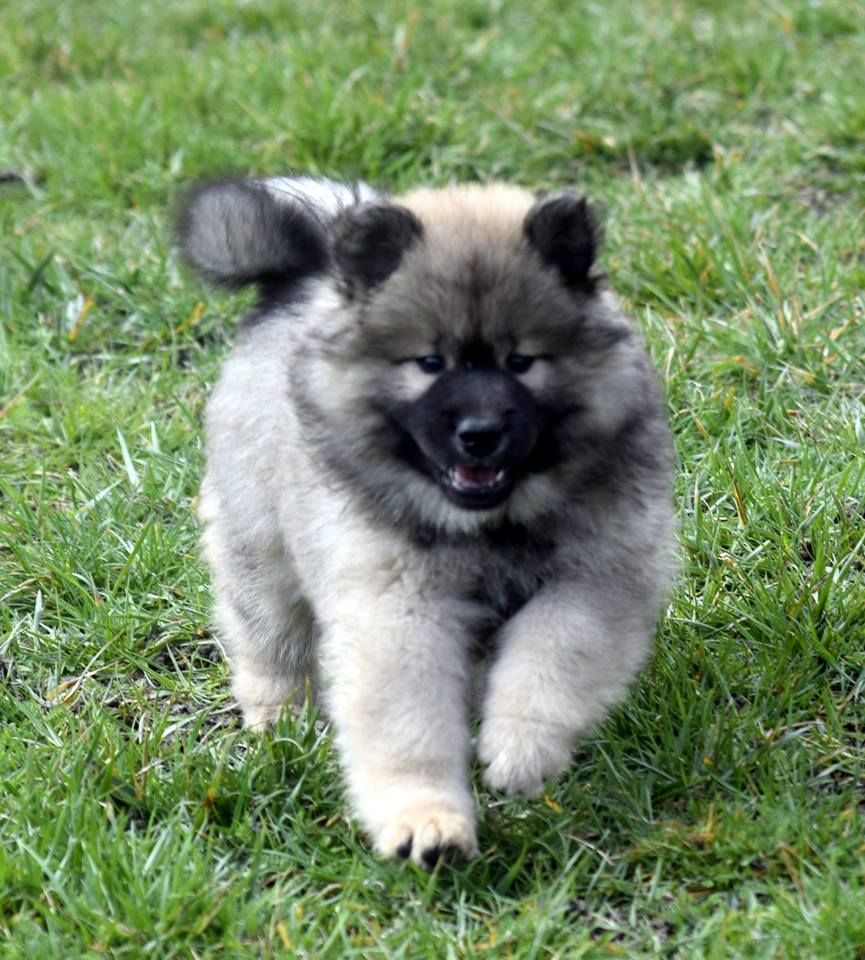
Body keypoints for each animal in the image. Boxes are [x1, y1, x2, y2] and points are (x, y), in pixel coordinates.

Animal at [177, 176, 676, 868]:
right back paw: (280, 720)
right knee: (268, 638)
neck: (489, 526)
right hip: (262, 542)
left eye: (521, 362)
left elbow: (549, 662)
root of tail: (303, 275)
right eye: (429, 363)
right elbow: (408, 723)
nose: (480, 434)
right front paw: (426, 821)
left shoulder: (593, 579)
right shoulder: (399, 607)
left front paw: (518, 752)